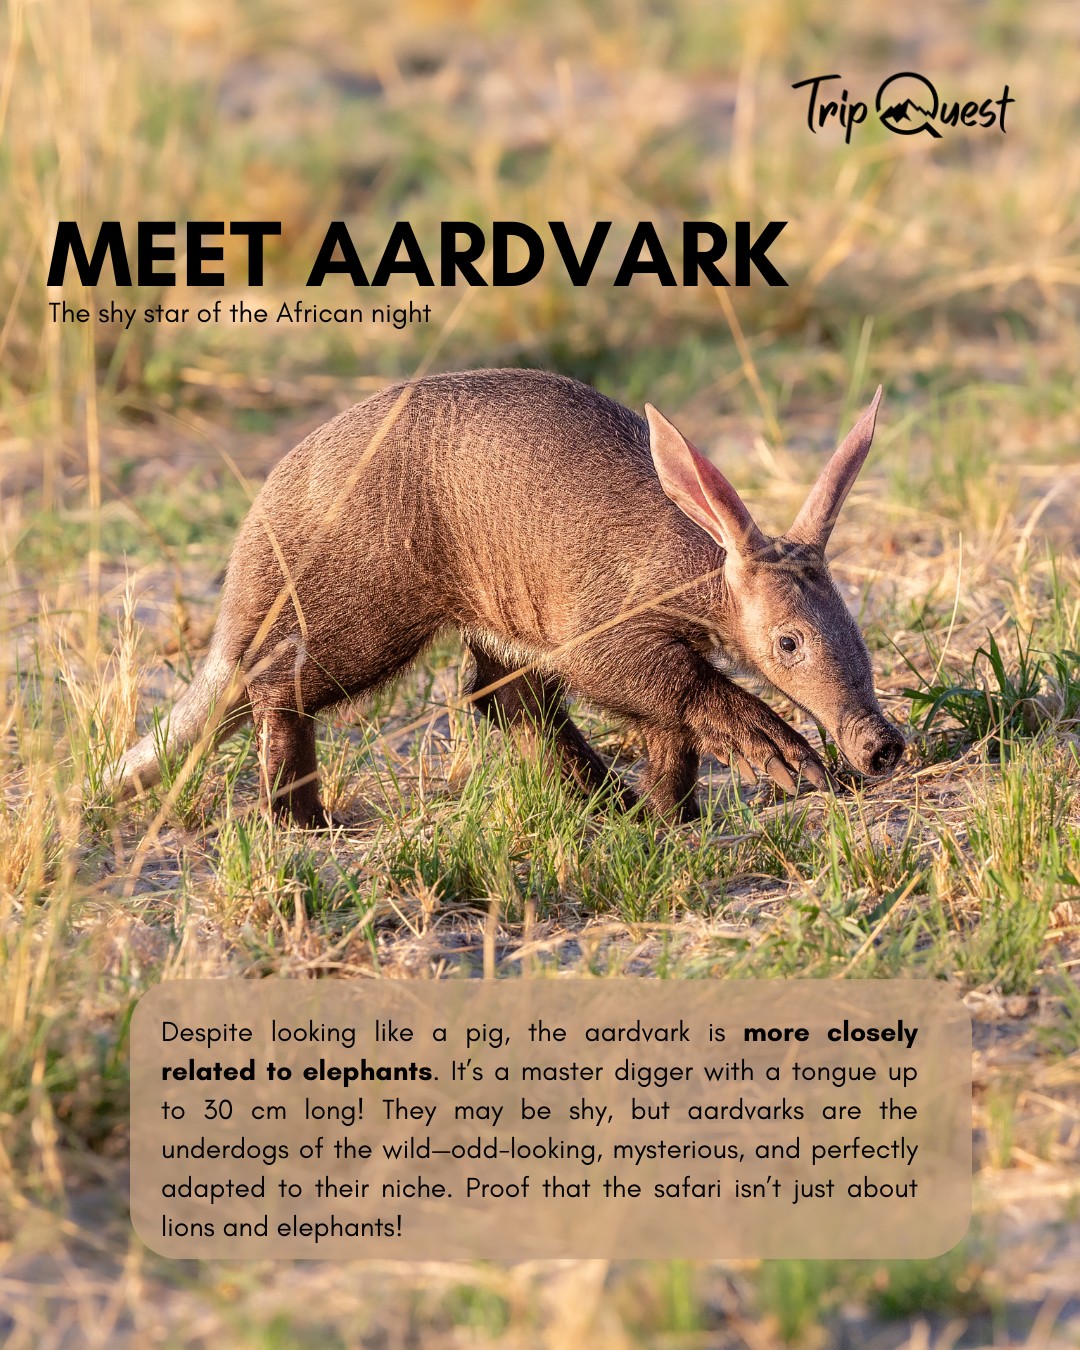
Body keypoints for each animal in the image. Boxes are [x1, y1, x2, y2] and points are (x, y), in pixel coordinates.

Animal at [115, 368, 904, 825]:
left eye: (856, 632)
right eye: (788, 643)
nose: (880, 747)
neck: (695, 570)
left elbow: (668, 731)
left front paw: (670, 813)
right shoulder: (605, 623)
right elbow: (664, 688)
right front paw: (774, 749)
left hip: (497, 614)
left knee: (502, 697)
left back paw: (608, 800)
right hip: (359, 607)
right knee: (277, 686)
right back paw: (298, 816)